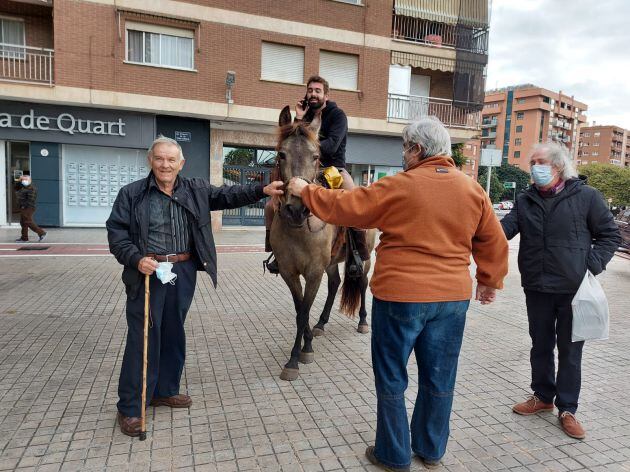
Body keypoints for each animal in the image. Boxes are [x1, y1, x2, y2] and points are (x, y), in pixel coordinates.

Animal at [270, 105, 378, 382]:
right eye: (281, 154)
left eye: (316, 155)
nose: (296, 209)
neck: (298, 230)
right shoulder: (289, 272)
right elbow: (300, 309)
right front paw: (307, 344)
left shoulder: (314, 272)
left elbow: (302, 312)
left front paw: (295, 359)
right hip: (331, 263)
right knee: (335, 284)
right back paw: (321, 323)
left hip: (365, 260)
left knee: (362, 283)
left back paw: (363, 322)